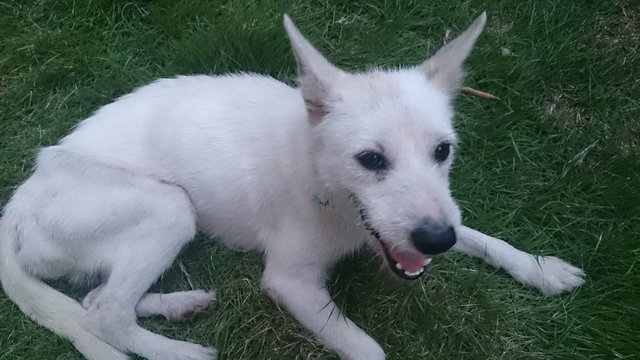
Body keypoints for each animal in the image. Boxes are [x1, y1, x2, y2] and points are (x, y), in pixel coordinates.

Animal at [0, 13, 584, 360]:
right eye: (370, 159)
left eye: (443, 151)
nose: (436, 243)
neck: (321, 178)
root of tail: (20, 199)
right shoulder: (290, 282)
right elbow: (368, 349)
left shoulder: (428, 221)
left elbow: (484, 238)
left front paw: (540, 269)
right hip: (170, 206)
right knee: (104, 314)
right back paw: (185, 352)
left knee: (95, 296)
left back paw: (179, 304)